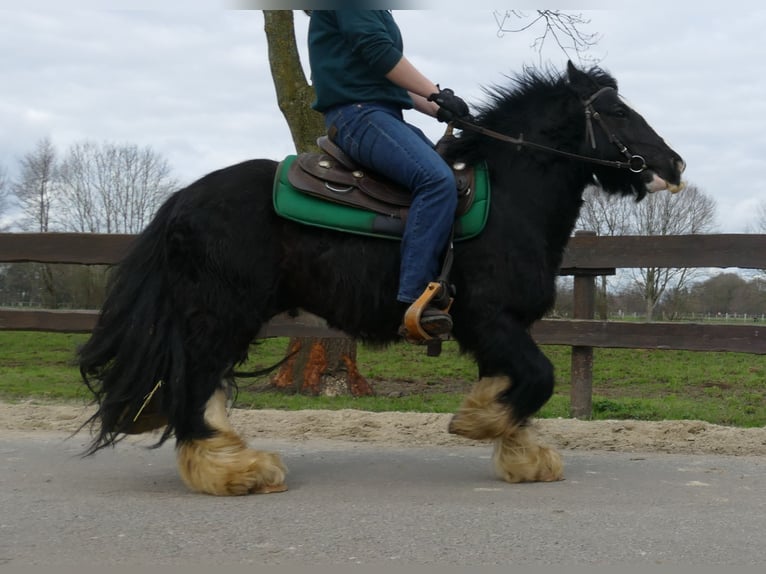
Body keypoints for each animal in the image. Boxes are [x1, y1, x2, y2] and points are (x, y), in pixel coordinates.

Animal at [81, 62, 688, 496]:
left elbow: (520, 383)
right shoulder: (489, 319)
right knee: (193, 384)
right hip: (222, 314)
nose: (675, 165)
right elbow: (539, 379)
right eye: (618, 112)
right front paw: (478, 422)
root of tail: (183, 199)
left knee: (201, 385)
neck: (509, 198)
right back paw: (233, 470)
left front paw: (517, 448)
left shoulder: (500, 331)